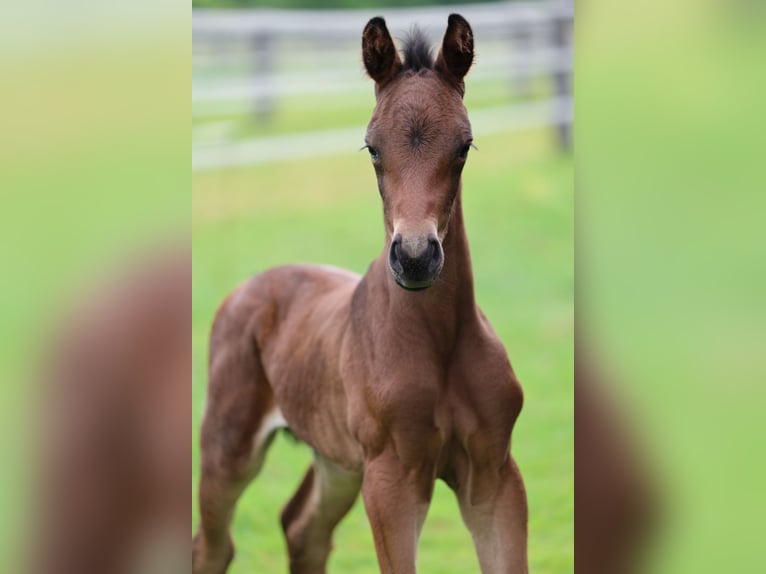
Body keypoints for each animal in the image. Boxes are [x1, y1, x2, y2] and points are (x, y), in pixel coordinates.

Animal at [192, 13, 528, 574]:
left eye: (465, 145)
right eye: (372, 147)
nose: (414, 256)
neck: (438, 343)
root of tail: (251, 285)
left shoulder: (494, 476)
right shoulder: (392, 480)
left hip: (338, 462)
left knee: (302, 528)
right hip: (229, 446)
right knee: (214, 545)